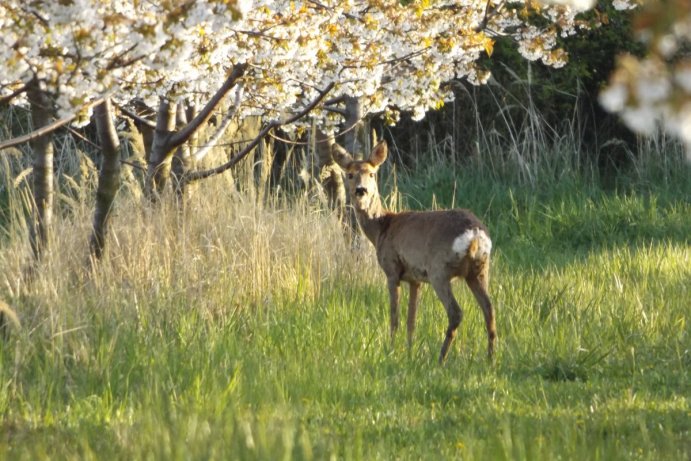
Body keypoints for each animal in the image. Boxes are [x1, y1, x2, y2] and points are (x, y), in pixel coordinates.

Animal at [336, 138, 498, 362]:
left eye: (372, 174)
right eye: (350, 174)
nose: (361, 191)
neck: (382, 228)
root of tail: (475, 235)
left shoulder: (392, 269)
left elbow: (395, 316)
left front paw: (391, 350)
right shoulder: (415, 279)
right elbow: (411, 320)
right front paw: (409, 351)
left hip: (439, 270)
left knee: (456, 312)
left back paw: (441, 358)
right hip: (479, 269)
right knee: (489, 309)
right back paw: (490, 359)